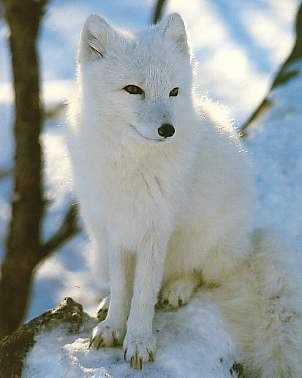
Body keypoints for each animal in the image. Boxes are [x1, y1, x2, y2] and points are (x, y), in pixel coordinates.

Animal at [68, 12, 302, 376]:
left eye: (174, 91)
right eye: (133, 89)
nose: (168, 130)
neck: (132, 162)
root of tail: (247, 244)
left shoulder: (155, 228)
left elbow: (144, 293)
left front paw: (138, 341)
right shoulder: (118, 227)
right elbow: (122, 287)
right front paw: (113, 326)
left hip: (203, 239)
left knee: (197, 273)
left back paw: (178, 288)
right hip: (100, 246)